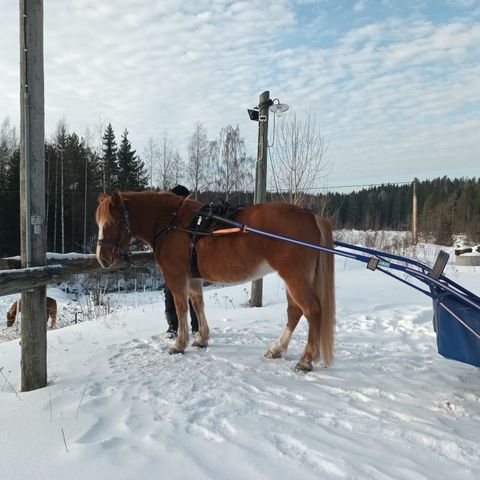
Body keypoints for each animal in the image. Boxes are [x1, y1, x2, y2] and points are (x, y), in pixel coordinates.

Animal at [94, 191, 334, 372]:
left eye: (114, 221)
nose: (102, 258)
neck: (172, 223)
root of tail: (310, 215)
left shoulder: (176, 276)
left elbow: (181, 308)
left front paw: (179, 344)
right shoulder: (194, 278)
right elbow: (197, 304)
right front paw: (202, 338)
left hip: (295, 278)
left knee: (312, 310)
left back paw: (305, 360)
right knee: (295, 311)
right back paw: (276, 349)